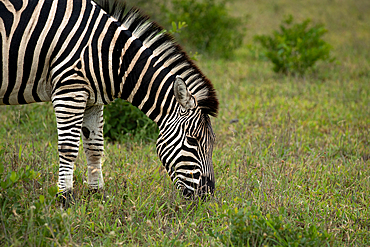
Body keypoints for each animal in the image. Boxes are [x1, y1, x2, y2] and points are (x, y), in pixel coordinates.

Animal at [0, 0, 218, 205]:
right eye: (192, 140)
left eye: (212, 143)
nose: (206, 195)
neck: (112, 54)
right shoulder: (69, 90)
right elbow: (69, 148)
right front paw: (65, 198)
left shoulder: (92, 100)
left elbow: (95, 148)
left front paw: (97, 194)